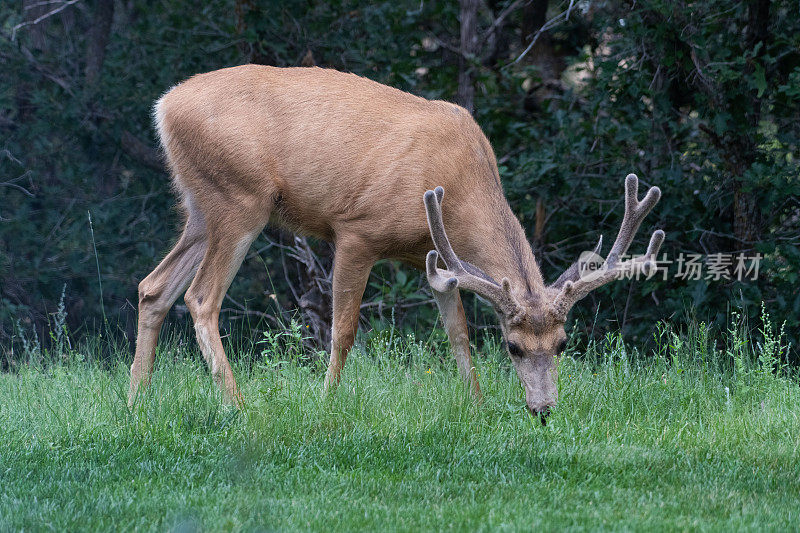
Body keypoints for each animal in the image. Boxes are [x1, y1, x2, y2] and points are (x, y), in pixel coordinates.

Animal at [131, 65, 664, 420]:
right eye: (512, 347)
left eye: (562, 343)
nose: (543, 409)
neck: (460, 186)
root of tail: (164, 106)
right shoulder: (356, 231)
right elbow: (343, 331)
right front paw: (326, 403)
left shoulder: (437, 259)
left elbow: (457, 332)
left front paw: (477, 404)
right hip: (240, 196)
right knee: (201, 297)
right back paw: (239, 407)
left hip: (201, 207)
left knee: (153, 287)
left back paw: (136, 402)